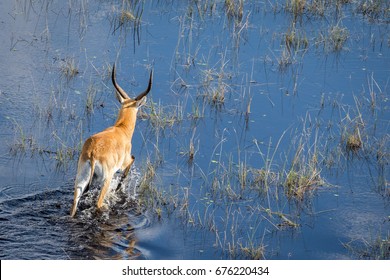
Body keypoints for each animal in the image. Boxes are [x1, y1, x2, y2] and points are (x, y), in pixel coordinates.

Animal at [71, 63, 153, 217]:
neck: (121, 129)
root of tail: (92, 153)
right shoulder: (124, 162)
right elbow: (131, 162)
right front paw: (119, 189)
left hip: (81, 180)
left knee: (74, 204)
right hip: (106, 179)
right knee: (98, 202)